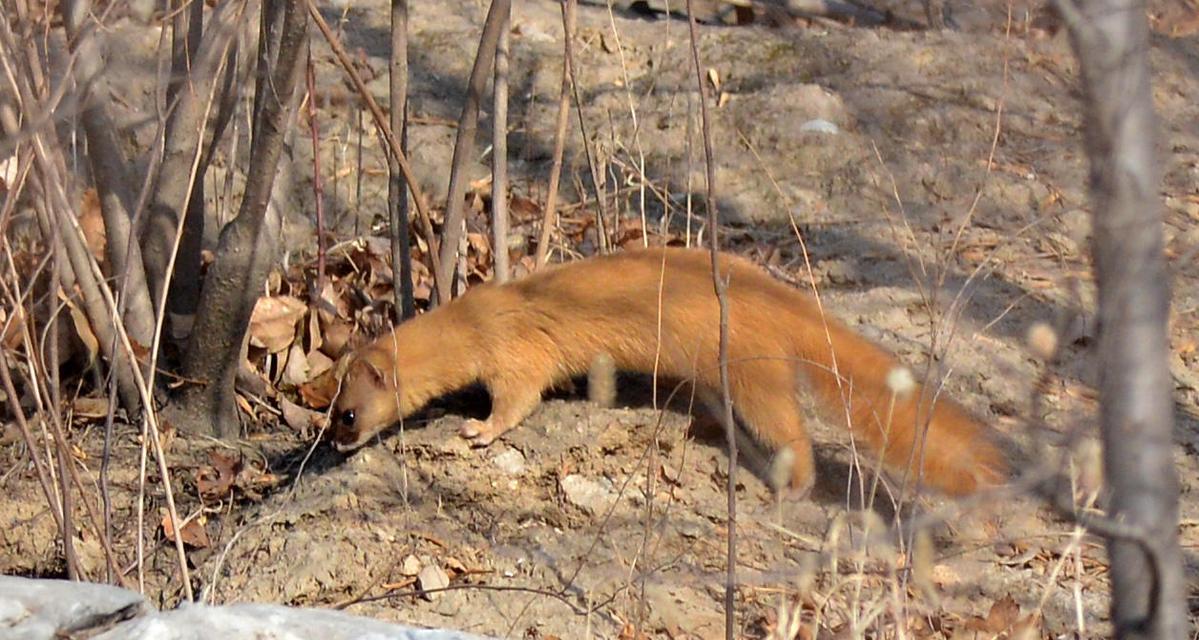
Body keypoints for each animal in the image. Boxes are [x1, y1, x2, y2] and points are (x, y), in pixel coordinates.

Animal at [333, 248, 1007, 498]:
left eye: (346, 413)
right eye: (325, 402)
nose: (336, 443)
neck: (481, 311)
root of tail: (777, 295)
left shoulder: (516, 352)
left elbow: (518, 398)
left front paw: (477, 430)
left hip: (752, 370)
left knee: (792, 429)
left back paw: (790, 484)